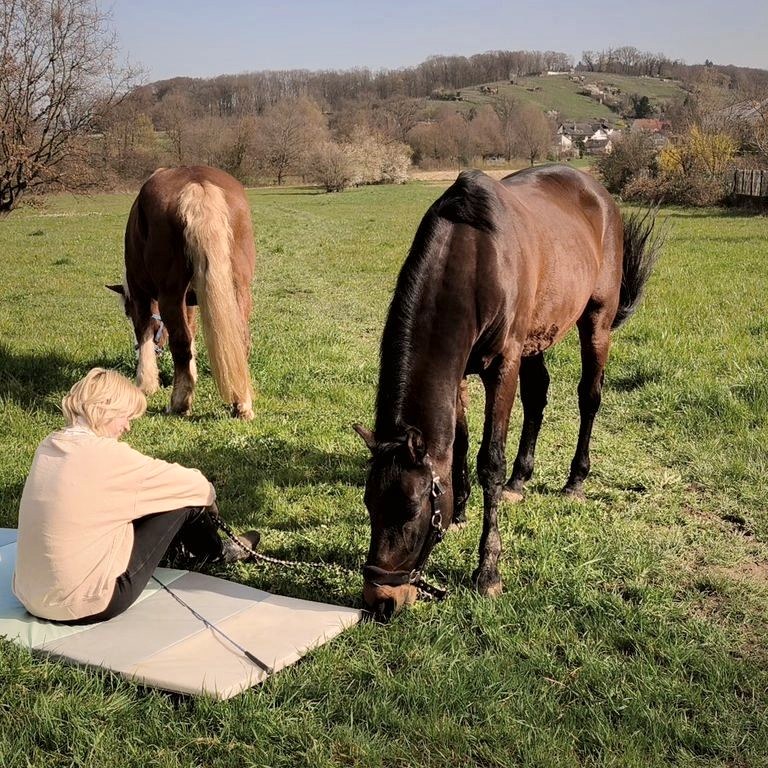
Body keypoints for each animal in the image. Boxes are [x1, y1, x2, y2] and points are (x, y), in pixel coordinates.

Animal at [108, 166, 256, 420]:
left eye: (126, 311)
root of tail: (197, 184)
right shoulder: (189, 302)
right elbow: (192, 331)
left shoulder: (139, 297)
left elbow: (145, 332)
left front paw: (145, 384)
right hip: (239, 290)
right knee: (240, 340)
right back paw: (242, 405)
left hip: (170, 294)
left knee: (180, 343)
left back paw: (179, 403)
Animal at [354, 165, 664, 620]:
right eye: (369, 505)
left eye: (411, 511)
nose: (382, 601)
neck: (474, 259)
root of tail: (598, 193)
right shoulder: (462, 373)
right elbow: (460, 448)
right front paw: (460, 512)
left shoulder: (503, 367)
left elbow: (490, 461)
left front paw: (488, 573)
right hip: (538, 338)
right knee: (538, 398)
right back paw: (521, 479)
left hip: (596, 322)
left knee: (589, 398)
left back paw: (575, 481)